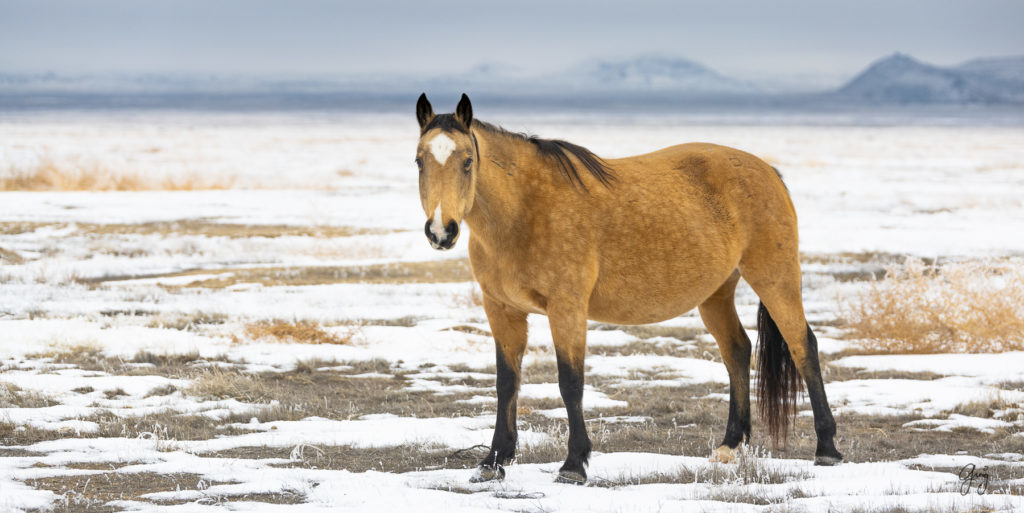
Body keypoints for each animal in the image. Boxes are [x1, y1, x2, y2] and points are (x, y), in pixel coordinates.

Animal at [411, 93, 843, 483]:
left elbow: (570, 382)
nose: (440, 231)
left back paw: (827, 449)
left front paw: (574, 465)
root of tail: (767, 170)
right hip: (716, 294)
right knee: (737, 350)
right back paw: (729, 446)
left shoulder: (567, 308)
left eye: (467, 161)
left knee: (803, 347)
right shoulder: (502, 309)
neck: (525, 211)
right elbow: (506, 383)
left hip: (774, 277)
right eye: (419, 161)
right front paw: (493, 462)